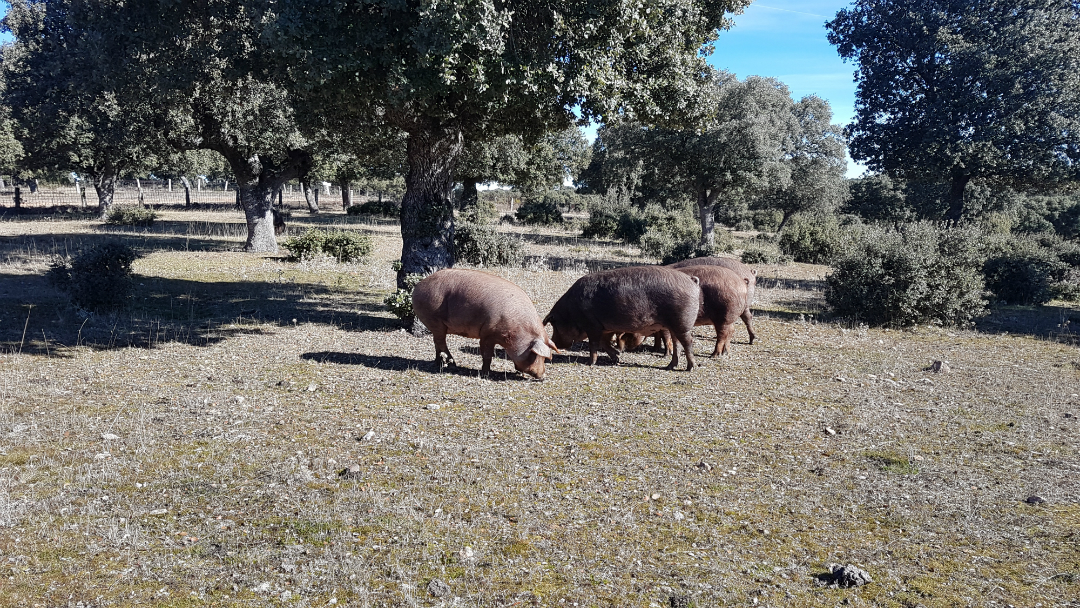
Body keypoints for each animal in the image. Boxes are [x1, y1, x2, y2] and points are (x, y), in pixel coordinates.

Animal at [406, 268, 552, 377]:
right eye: (535, 355)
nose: (543, 376)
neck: (517, 329)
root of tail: (418, 286)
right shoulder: (487, 333)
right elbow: (487, 355)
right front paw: (486, 373)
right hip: (435, 321)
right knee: (440, 342)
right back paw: (451, 364)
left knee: (437, 344)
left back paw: (440, 362)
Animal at [544, 266, 704, 371]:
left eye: (555, 325)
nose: (554, 342)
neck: (572, 312)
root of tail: (692, 280)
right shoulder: (605, 328)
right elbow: (604, 343)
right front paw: (617, 357)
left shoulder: (593, 325)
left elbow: (593, 344)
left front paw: (591, 363)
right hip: (674, 326)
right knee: (677, 344)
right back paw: (670, 366)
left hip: (681, 323)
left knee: (688, 342)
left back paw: (691, 368)